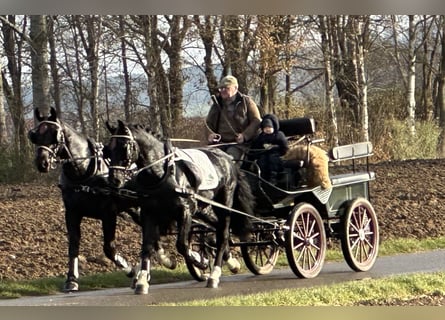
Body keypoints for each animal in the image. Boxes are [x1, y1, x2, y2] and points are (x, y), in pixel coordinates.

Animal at [27, 108, 146, 292]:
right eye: (35, 136)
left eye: (55, 135)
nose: (42, 163)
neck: (84, 174)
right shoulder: (72, 213)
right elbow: (74, 245)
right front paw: (71, 280)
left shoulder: (108, 214)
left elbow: (109, 249)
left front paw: (131, 271)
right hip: (132, 209)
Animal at [105, 120, 255, 296]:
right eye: (107, 150)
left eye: (123, 146)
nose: (114, 180)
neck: (162, 172)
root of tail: (228, 159)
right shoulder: (149, 213)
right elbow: (147, 246)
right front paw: (142, 280)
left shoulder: (185, 211)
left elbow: (182, 245)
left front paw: (201, 262)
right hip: (204, 208)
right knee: (218, 230)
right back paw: (231, 262)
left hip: (224, 204)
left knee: (223, 234)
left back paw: (214, 274)